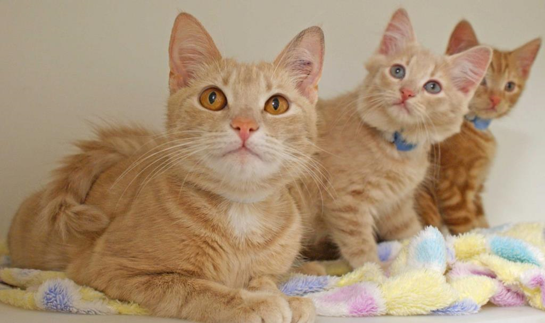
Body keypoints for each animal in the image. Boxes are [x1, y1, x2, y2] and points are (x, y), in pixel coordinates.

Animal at [8, 12, 324, 323]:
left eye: (276, 104)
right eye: (212, 98)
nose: (244, 125)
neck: (241, 214)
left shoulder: (267, 269)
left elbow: (265, 279)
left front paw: (287, 299)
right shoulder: (109, 268)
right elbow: (193, 289)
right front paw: (255, 303)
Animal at [300, 8, 490, 270]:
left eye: (433, 87)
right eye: (398, 71)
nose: (406, 92)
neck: (396, 148)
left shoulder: (397, 206)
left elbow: (413, 232)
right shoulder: (346, 203)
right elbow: (361, 247)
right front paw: (375, 273)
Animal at [416, 19, 540, 233]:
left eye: (509, 86)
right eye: (482, 81)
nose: (496, 99)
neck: (474, 126)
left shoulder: (476, 190)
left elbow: (482, 224)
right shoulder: (451, 187)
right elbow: (465, 226)